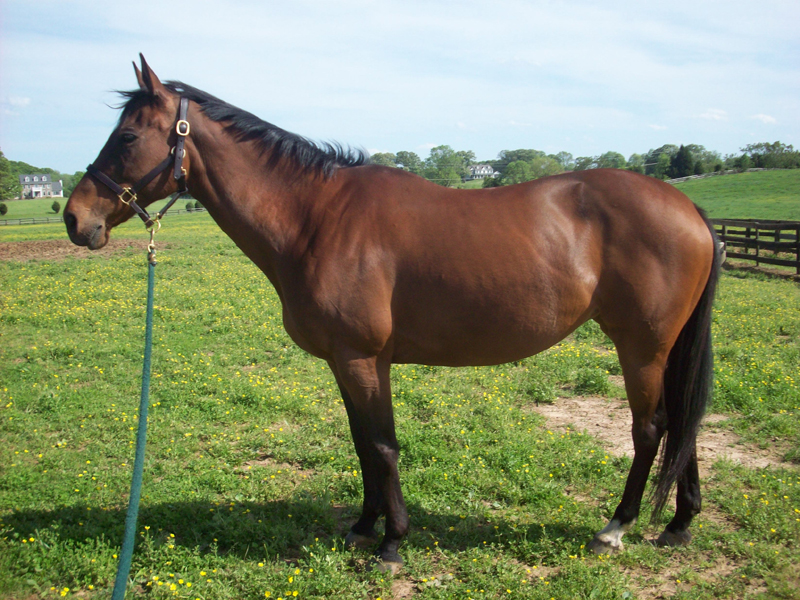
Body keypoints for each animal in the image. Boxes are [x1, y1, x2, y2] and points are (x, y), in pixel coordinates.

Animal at [65, 55, 719, 573]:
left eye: (127, 137)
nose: (75, 219)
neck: (316, 218)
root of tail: (688, 207)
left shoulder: (361, 357)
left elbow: (382, 446)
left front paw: (392, 543)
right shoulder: (348, 361)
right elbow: (362, 442)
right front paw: (362, 527)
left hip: (641, 347)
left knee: (652, 428)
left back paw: (616, 527)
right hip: (664, 348)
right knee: (683, 424)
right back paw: (679, 524)